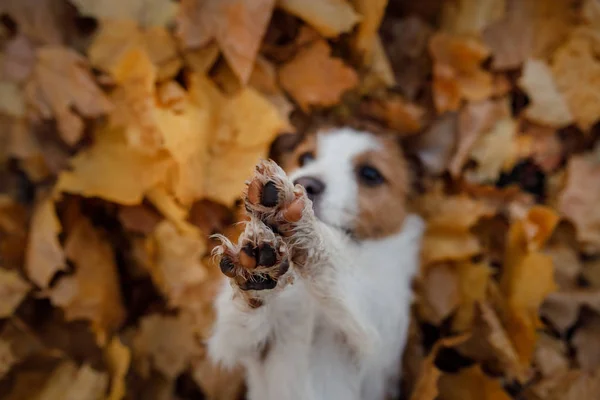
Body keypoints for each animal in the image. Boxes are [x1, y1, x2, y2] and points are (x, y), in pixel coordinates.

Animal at [209, 127, 424, 400]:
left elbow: (339, 268)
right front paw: (255, 270)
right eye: (305, 157)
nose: (306, 182)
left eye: (370, 174)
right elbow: (237, 322)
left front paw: (304, 224)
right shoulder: (238, 344)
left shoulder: (380, 342)